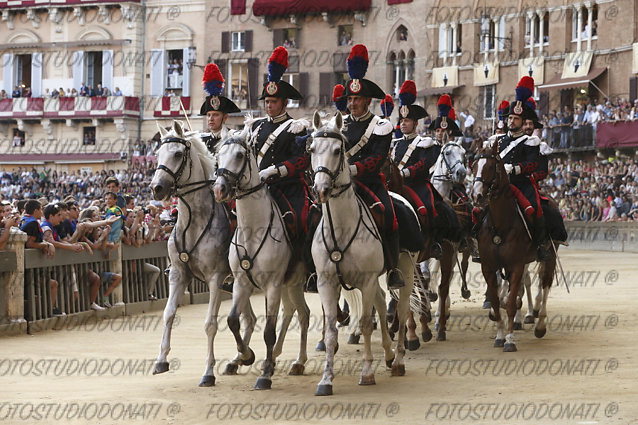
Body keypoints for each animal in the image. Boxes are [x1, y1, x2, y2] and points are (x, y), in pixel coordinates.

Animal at [151, 121, 258, 386]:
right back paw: (239, 358)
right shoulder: (178, 275)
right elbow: (168, 313)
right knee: (249, 319)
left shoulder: (215, 279)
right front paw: (161, 360)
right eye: (158, 154)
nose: (156, 188)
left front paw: (208, 372)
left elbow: (210, 323)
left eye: (178, 154)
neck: (193, 222)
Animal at [214, 128, 312, 388]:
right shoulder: (241, 283)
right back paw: (296, 361)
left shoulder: (273, 284)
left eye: (239, 155)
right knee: (302, 313)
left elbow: (269, 330)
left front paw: (265, 373)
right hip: (293, 283)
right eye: (218, 156)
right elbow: (233, 320)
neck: (253, 230)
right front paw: (245, 356)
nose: (219, 190)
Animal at [308, 112, 418, 394]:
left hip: (406, 270)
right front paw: (326, 380)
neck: (341, 227)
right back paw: (388, 355)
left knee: (402, 309)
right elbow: (330, 331)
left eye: (338, 150)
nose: (321, 190)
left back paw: (398, 360)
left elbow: (367, 325)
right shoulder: (327, 283)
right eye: (312, 149)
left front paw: (367, 373)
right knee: (381, 299)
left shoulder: (366, 281)